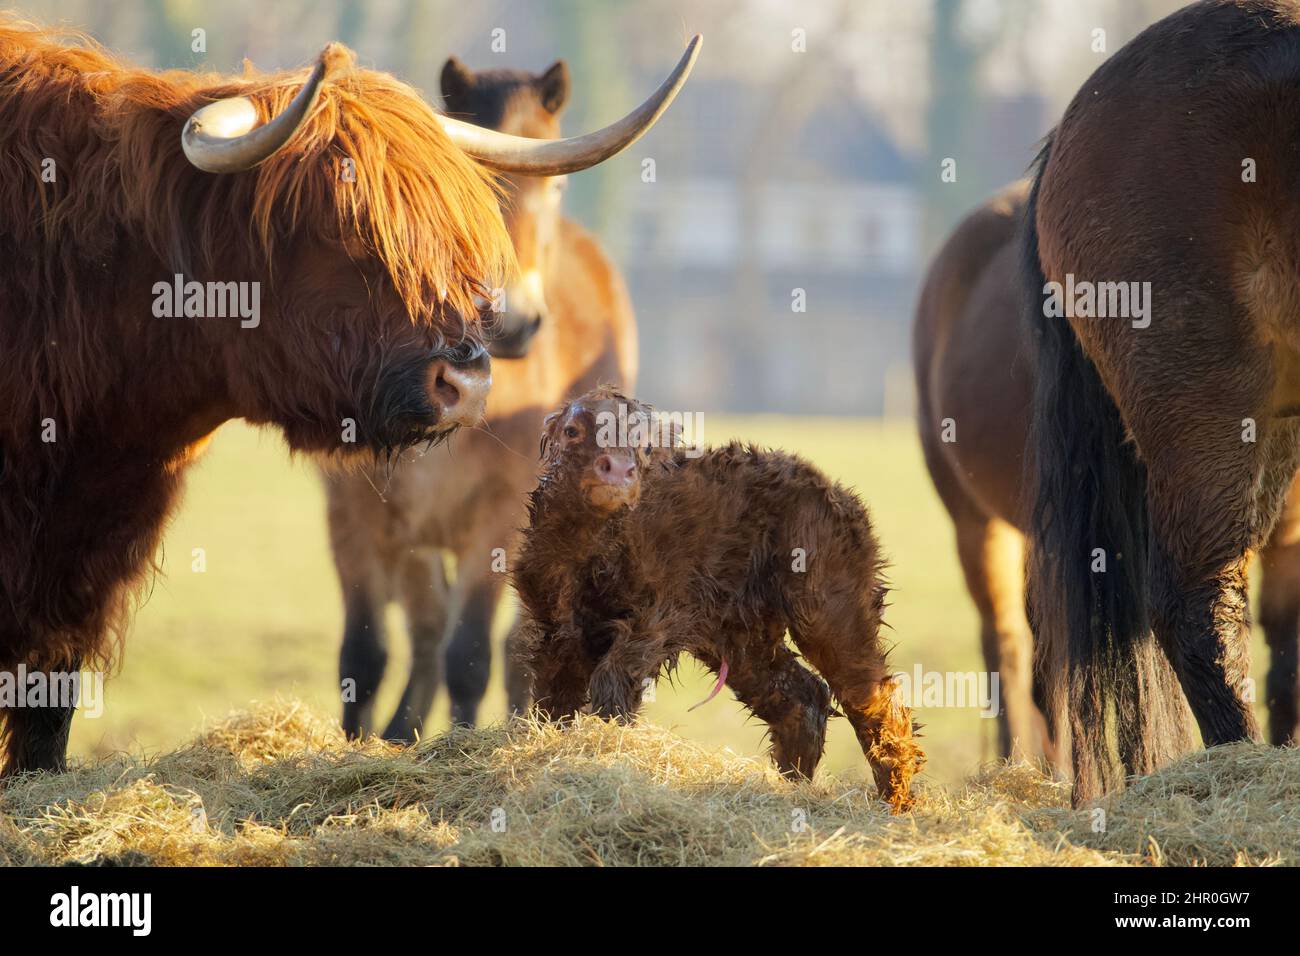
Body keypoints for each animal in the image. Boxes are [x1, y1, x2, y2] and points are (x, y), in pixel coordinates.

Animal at [319, 55, 634, 738]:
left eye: (557, 189)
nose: (512, 322)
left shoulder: (498, 517)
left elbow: (469, 655)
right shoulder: (360, 511)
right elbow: (365, 654)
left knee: (516, 642)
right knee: (425, 629)